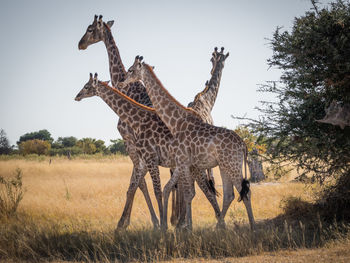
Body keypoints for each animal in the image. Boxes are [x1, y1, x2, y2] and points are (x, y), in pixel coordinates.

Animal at [75, 73, 221, 230]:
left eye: (86, 86)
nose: (77, 96)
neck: (138, 120)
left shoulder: (150, 158)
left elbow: (155, 191)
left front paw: (161, 225)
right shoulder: (144, 161)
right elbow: (134, 187)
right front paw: (121, 226)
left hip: (194, 165)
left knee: (205, 189)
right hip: (189, 167)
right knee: (198, 190)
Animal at [119, 56, 254, 231]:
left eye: (131, 70)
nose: (122, 82)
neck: (176, 122)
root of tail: (243, 145)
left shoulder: (184, 161)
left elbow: (188, 193)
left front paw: (185, 227)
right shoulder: (187, 163)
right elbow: (188, 193)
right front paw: (185, 226)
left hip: (232, 165)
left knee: (244, 192)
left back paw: (252, 227)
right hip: (225, 166)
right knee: (230, 194)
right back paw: (220, 226)